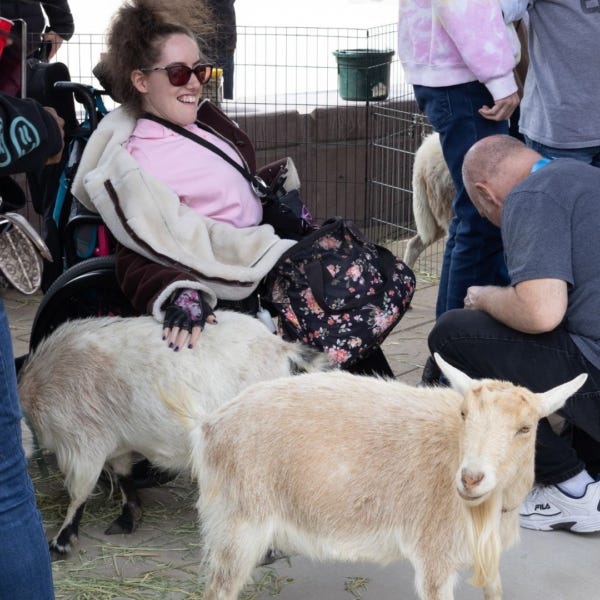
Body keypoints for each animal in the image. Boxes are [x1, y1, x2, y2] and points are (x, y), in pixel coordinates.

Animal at [17, 312, 332, 556]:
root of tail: (278, 345)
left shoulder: (84, 445)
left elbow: (79, 494)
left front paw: (60, 542)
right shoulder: (117, 442)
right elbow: (123, 476)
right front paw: (129, 518)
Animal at [168, 354, 584, 600]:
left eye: (525, 429)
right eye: (465, 414)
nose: (470, 479)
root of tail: (208, 424)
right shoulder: (434, 556)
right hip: (237, 521)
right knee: (219, 588)